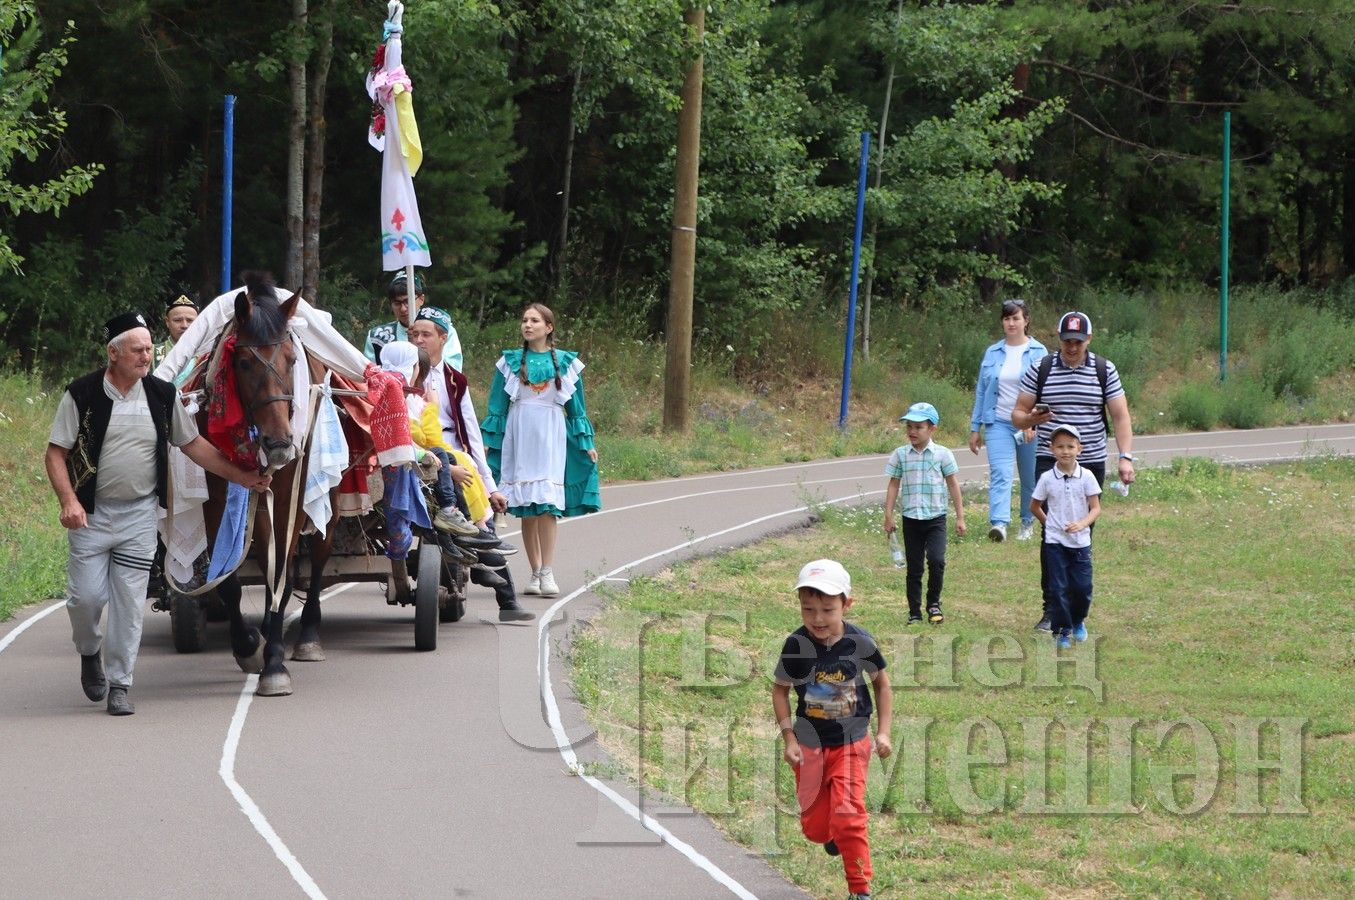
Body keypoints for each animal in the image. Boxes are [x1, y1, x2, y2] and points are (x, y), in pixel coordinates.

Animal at [211, 272, 341, 693]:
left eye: (292, 359)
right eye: (244, 362)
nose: (280, 442)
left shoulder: (288, 497)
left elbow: (281, 573)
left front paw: (274, 663)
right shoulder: (214, 496)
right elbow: (227, 581)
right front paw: (248, 645)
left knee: (318, 557)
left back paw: (308, 634)